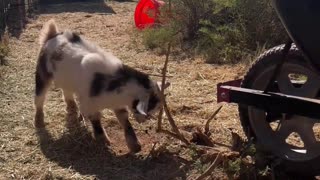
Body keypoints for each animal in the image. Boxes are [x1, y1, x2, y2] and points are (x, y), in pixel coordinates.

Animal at [34, 19, 170, 152]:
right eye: (148, 109)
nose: (143, 121)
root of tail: (52, 36)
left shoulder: (118, 103)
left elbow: (125, 120)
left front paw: (135, 147)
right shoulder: (90, 104)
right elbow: (96, 120)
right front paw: (104, 141)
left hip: (66, 78)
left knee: (66, 90)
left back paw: (72, 108)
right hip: (42, 74)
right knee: (39, 97)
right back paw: (39, 122)